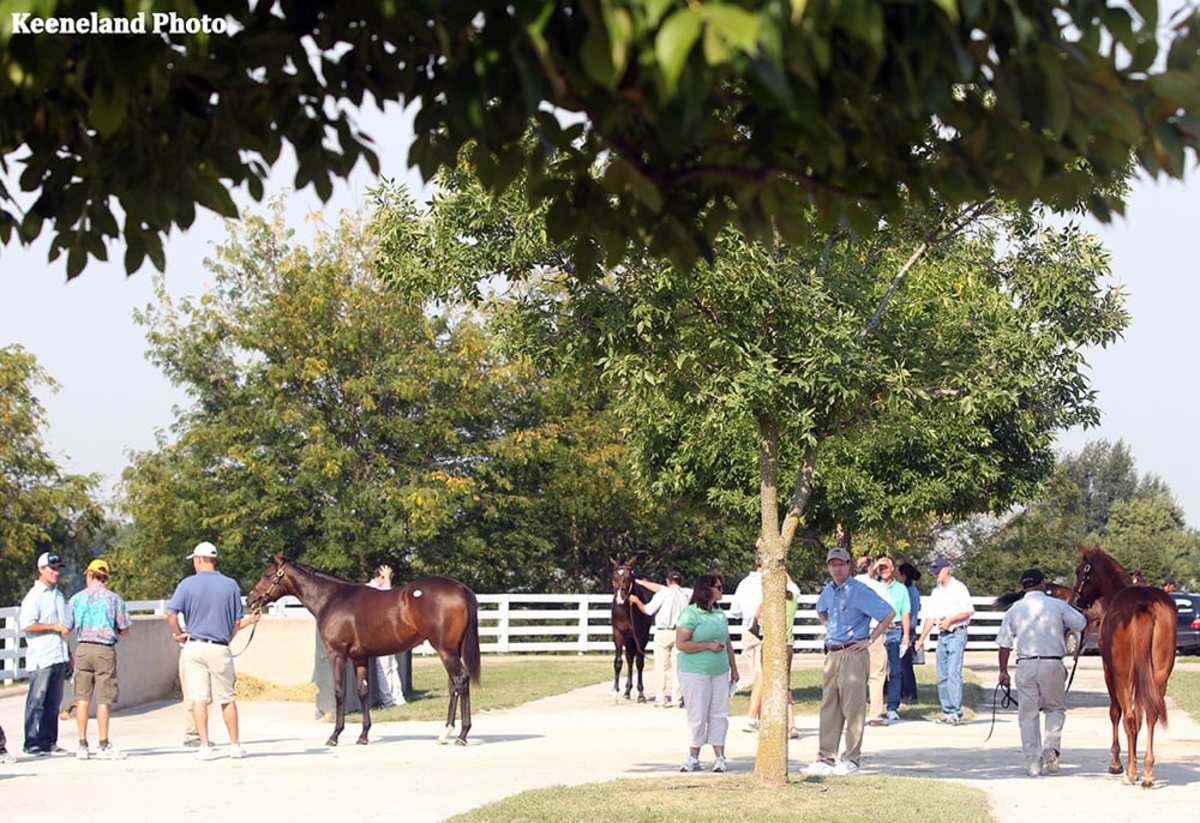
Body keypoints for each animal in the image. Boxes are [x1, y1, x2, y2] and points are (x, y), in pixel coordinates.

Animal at [246, 561, 480, 748]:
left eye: (267, 574)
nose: (250, 600)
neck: (331, 599)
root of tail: (461, 588)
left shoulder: (337, 654)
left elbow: (340, 692)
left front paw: (334, 736)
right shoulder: (360, 658)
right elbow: (363, 691)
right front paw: (363, 735)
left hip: (445, 650)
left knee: (460, 681)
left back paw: (461, 735)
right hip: (452, 650)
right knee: (454, 685)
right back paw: (446, 733)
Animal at [614, 556, 652, 705]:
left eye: (628, 577)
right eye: (613, 577)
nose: (620, 598)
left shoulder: (641, 636)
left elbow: (640, 662)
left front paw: (641, 694)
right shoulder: (618, 634)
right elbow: (618, 662)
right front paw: (615, 691)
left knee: (634, 660)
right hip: (628, 639)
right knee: (629, 660)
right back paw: (627, 691)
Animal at [1075, 544, 1176, 791]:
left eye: (1080, 571)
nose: (1077, 601)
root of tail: (1143, 605)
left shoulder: (1108, 671)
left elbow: (1116, 712)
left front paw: (1117, 764)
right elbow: (1140, 716)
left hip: (1120, 675)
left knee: (1128, 716)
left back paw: (1130, 773)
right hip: (1160, 676)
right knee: (1151, 714)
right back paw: (1147, 773)